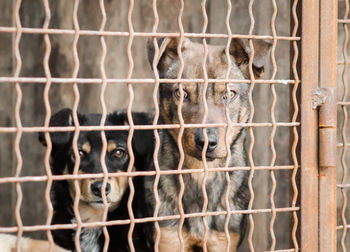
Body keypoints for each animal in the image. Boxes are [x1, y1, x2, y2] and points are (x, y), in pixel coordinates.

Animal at [146, 38, 272, 252]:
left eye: (229, 94)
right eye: (180, 93)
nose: (206, 142)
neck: (201, 174)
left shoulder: (223, 240)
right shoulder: (168, 238)